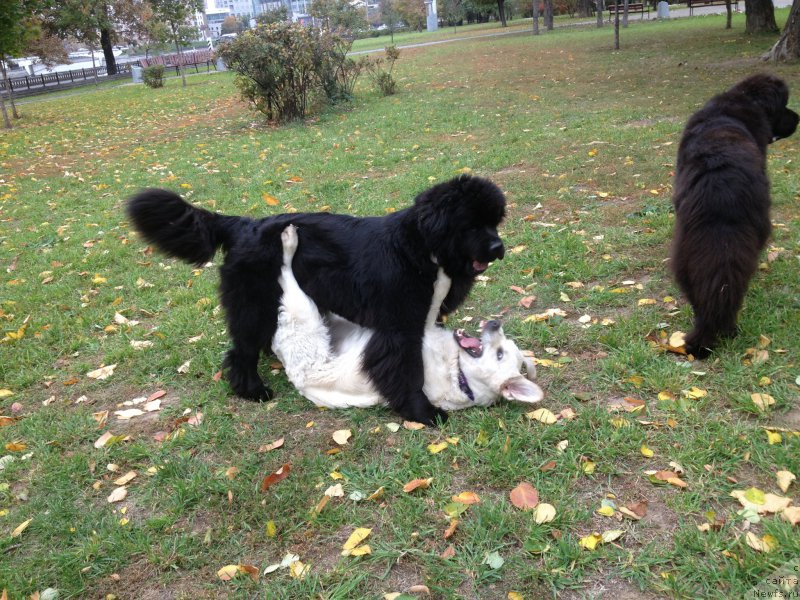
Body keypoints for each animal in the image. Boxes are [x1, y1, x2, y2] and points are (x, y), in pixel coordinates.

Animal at [127, 176, 504, 424]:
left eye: (494, 221)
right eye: (470, 225)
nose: (499, 247)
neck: (423, 248)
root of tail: (243, 225)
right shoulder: (400, 330)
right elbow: (408, 370)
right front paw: (422, 412)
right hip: (255, 304)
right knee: (241, 350)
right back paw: (253, 390)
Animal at [270, 225, 544, 412]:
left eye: (500, 355)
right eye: (504, 345)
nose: (496, 324)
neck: (459, 374)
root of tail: (297, 379)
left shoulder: (420, 327)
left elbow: (440, 288)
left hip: (303, 315)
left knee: (286, 276)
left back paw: (288, 242)